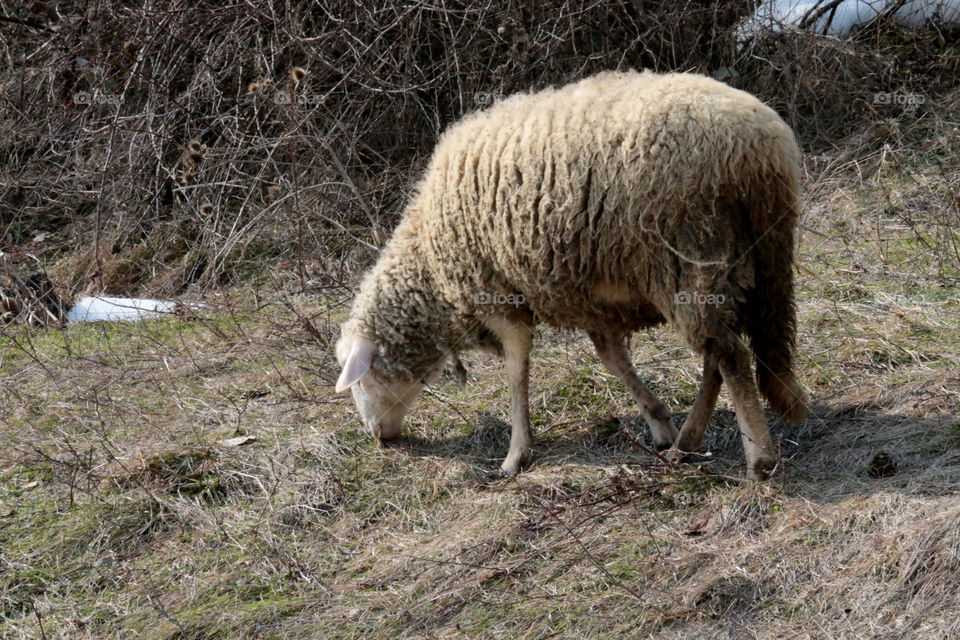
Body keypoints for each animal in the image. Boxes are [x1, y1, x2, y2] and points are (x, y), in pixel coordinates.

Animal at [335, 70, 807, 480]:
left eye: (361, 378)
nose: (377, 438)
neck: (431, 272)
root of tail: (759, 147)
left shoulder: (502, 300)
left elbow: (517, 374)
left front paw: (516, 454)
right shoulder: (591, 300)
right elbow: (613, 361)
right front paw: (658, 423)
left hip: (688, 253)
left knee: (729, 355)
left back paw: (760, 459)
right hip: (743, 263)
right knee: (718, 354)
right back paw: (686, 442)